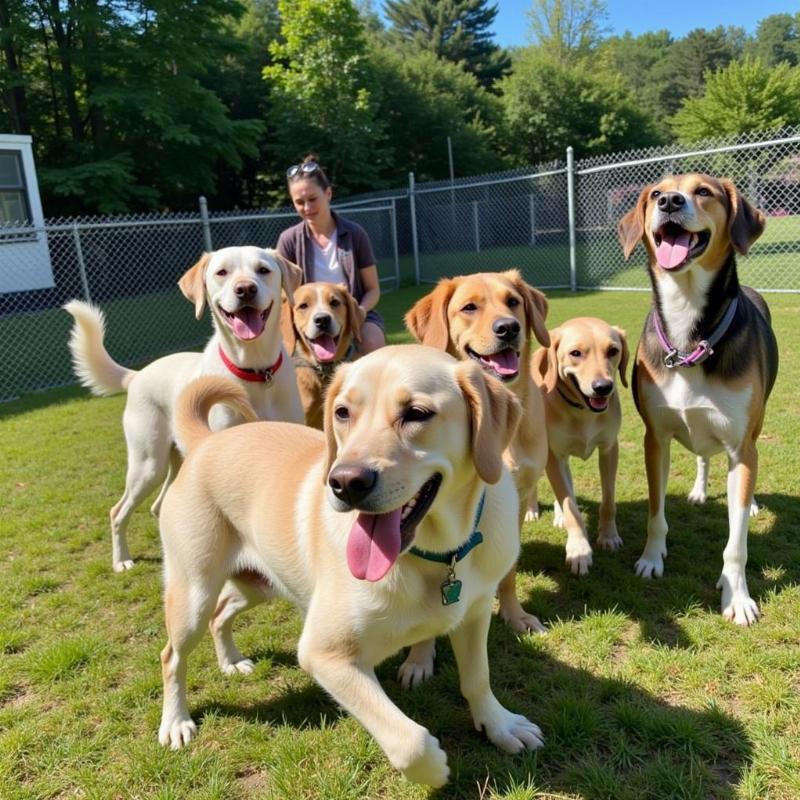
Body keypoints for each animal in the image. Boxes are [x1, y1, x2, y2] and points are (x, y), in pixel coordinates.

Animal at [63, 247, 304, 572]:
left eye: (263, 270)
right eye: (222, 272)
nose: (245, 289)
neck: (255, 371)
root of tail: (137, 375)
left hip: (176, 460)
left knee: (158, 506)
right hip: (148, 464)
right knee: (118, 511)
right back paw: (122, 560)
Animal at [155, 346, 544, 788]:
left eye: (417, 413)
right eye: (342, 412)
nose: (344, 482)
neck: (436, 554)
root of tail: (206, 441)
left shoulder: (474, 614)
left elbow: (478, 678)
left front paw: (501, 726)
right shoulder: (326, 655)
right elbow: (410, 741)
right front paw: (435, 771)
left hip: (257, 583)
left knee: (222, 613)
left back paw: (231, 662)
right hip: (193, 592)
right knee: (172, 655)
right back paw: (176, 723)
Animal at [536, 318, 628, 576]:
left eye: (613, 350)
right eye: (575, 353)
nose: (603, 387)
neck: (582, 411)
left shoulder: (609, 449)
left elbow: (608, 500)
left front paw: (608, 536)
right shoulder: (553, 456)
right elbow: (571, 508)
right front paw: (579, 549)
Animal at [616, 173, 780, 624]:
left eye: (704, 191)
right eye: (656, 193)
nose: (670, 202)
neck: (689, 332)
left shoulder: (741, 447)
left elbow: (737, 543)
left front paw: (737, 597)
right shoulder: (654, 439)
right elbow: (656, 513)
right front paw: (651, 559)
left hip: (753, 430)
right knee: (705, 455)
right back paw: (700, 489)